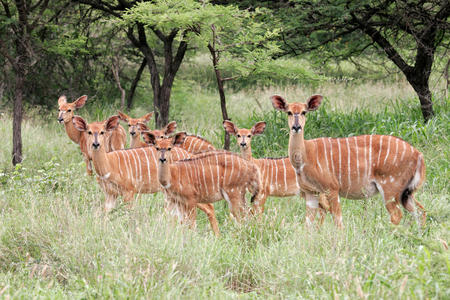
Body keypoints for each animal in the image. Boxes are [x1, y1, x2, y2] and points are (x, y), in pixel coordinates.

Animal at [71, 116, 218, 233]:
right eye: (89, 132)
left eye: (102, 132)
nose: (96, 144)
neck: (109, 165)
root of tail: (190, 155)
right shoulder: (110, 194)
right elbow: (104, 215)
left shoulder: (129, 192)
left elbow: (129, 214)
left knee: (209, 207)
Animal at [270, 94, 426, 227]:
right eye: (289, 112)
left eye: (304, 112)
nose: (296, 127)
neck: (305, 155)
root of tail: (418, 155)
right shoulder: (310, 192)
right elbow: (308, 225)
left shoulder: (332, 188)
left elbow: (338, 220)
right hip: (406, 192)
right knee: (420, 211)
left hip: (390, 189)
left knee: (397, 215)